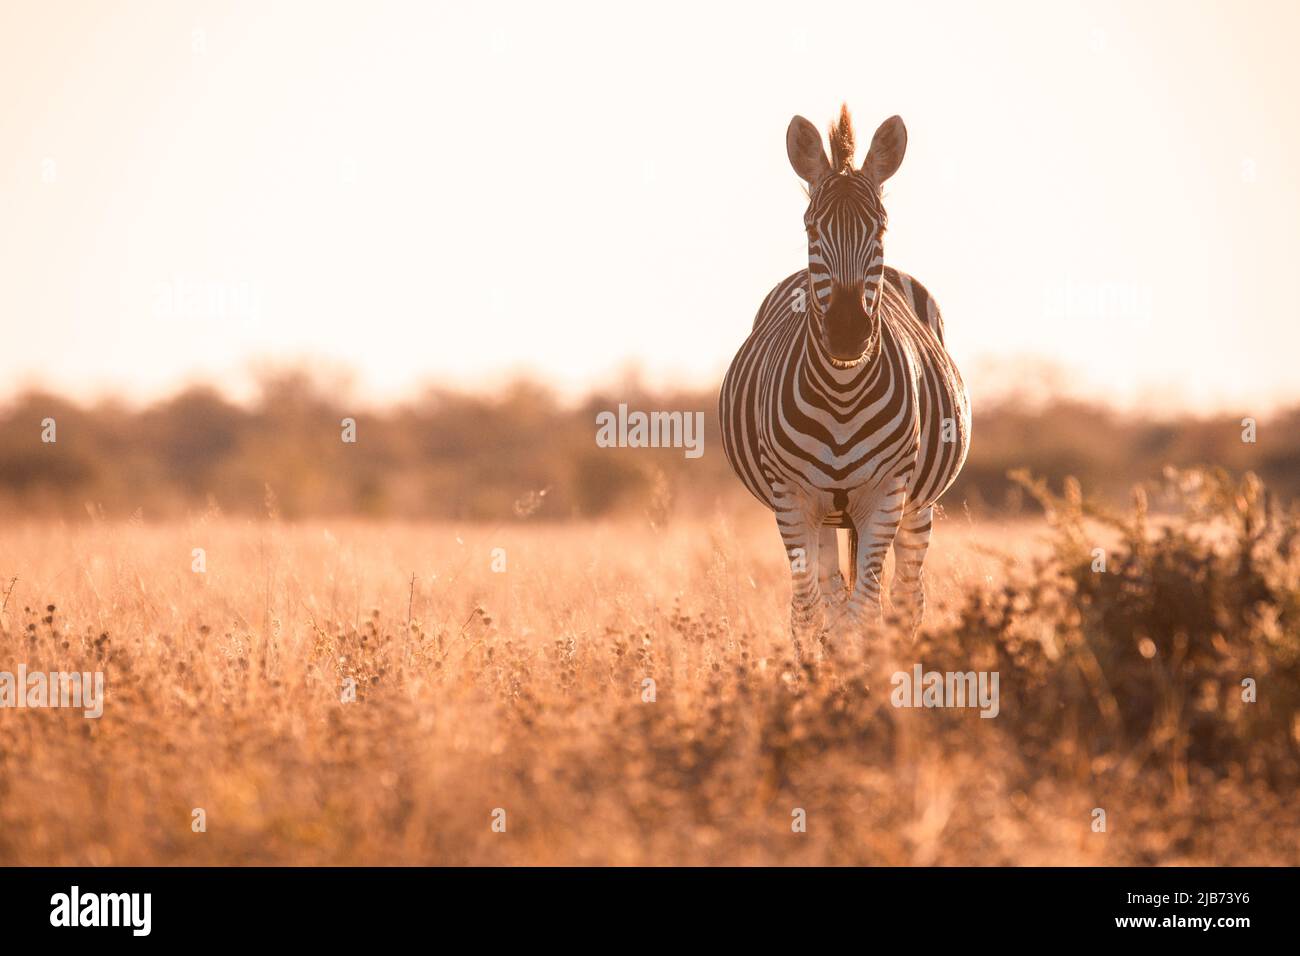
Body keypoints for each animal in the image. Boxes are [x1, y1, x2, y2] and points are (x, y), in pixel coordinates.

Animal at [722, 104, 967, 658]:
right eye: (812, 229)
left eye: (880, 229)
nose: (849, 333)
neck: (842, 393)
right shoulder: (792, 498)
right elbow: (811, 614)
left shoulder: (887, 493)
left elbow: (865, 615)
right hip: (823, 515)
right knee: (829, 596)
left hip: (918, 505)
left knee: (906, 601)